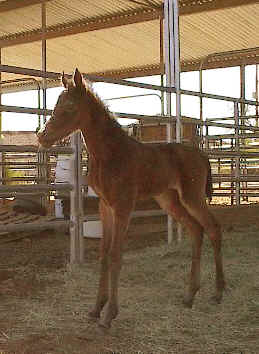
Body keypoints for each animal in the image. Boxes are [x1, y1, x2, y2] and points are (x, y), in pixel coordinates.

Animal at [37, 68, 226, 330]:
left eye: (70, 106)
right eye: (57, 104)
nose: (41, 137)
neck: (110, 154)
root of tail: (201, 154)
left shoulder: (123, 205)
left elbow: (116, 254)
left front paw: (109, 315)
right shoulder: (105, 206)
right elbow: (104, 254)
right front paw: (96, 308)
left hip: (192, 196)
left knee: (213, 228)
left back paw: (217, 293)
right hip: (169, 200)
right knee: (197, 231)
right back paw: (190, 295)